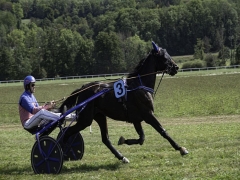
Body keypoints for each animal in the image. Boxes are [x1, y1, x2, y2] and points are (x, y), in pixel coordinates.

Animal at [59, 41, 188, 163]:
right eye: (164, 57)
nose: (176, 67)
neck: (140, 85)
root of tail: (82, 88)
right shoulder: (148, 115)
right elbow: (163, 131)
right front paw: (181, 148)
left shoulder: (136, 119)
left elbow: (141, 139)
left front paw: (123, 140)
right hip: (85, 119)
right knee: (67, 132)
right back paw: (60, 151)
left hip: (100, 116)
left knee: (105, 139)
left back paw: (122, 157)